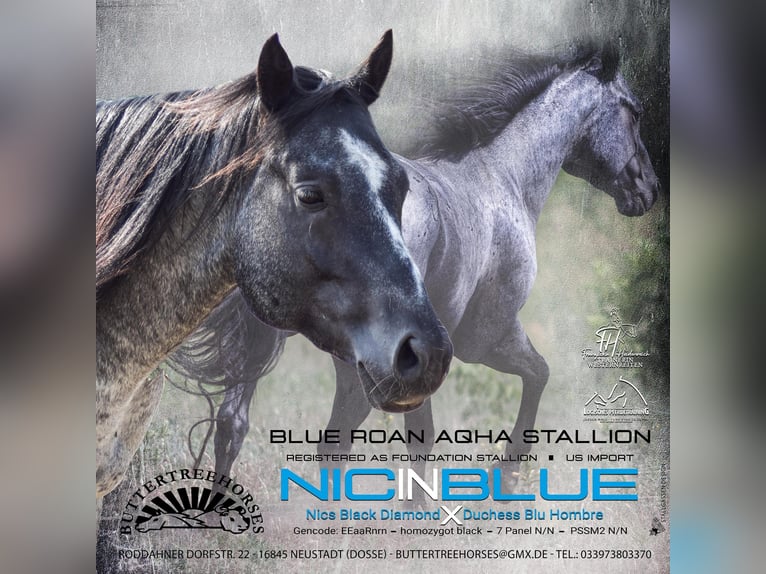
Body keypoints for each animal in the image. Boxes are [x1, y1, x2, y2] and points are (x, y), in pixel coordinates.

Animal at [173, 40, 659, 493]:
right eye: (634, 113)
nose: (649, 190)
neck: (503, 179)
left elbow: (422, 436)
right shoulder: (487, 340)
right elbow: (537, 376)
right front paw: (504, 480)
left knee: (233, 424)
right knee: (332, 442)